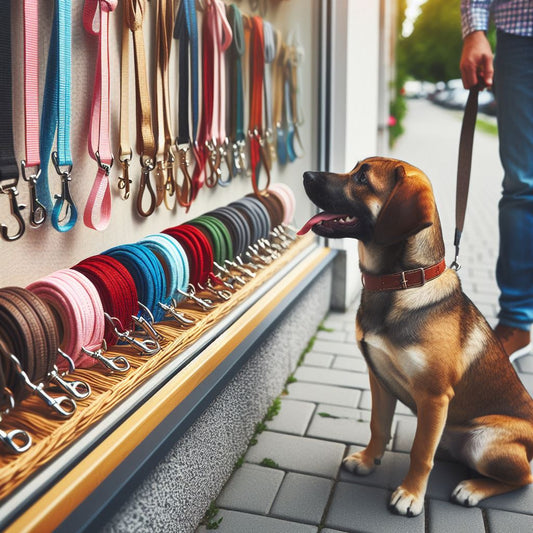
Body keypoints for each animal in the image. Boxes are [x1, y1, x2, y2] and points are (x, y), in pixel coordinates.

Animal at [298, 157, 532, 516]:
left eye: (362, 178)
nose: (306, 174)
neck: (400, 283)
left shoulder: (434, 396)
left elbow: (421, 453)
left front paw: (410, 495)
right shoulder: (379, 379)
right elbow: (378, 427)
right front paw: (368, 460)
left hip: (485, 443)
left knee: (523, 477)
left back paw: (472, 488)